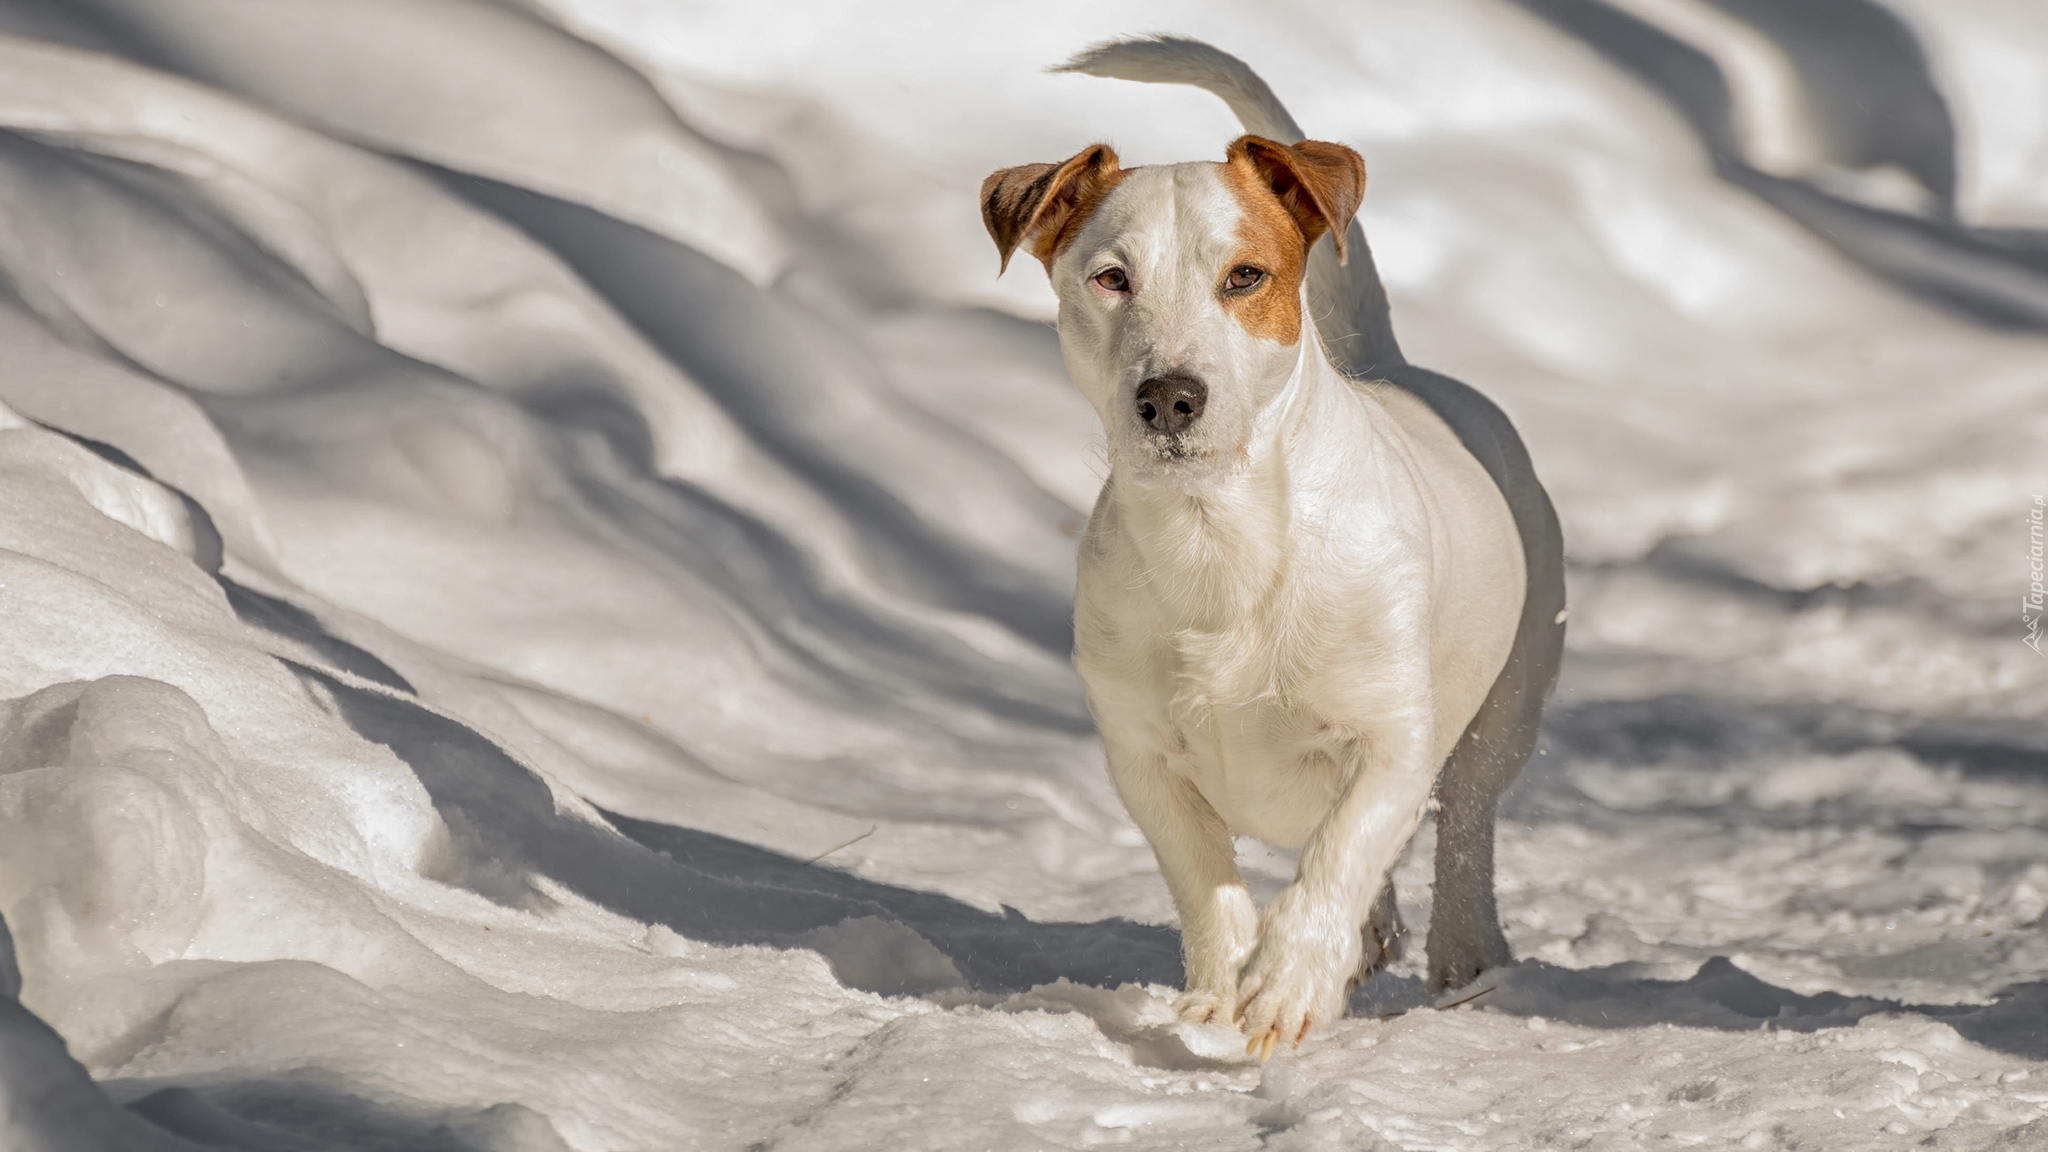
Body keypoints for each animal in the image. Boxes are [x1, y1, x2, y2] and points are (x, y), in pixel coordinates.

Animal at [983, 40, 1556, 1057]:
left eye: (1245, 277)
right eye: (1110, 277)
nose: (1170, 397)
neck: (1223, 535)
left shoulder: (1390, 739)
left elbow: (1341, 852)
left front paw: (1287, 984)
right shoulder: (1142, 757)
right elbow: (1204, 877)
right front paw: (1219, 993)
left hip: (1510, 701)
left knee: (1464, 820)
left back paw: (1460, 949)